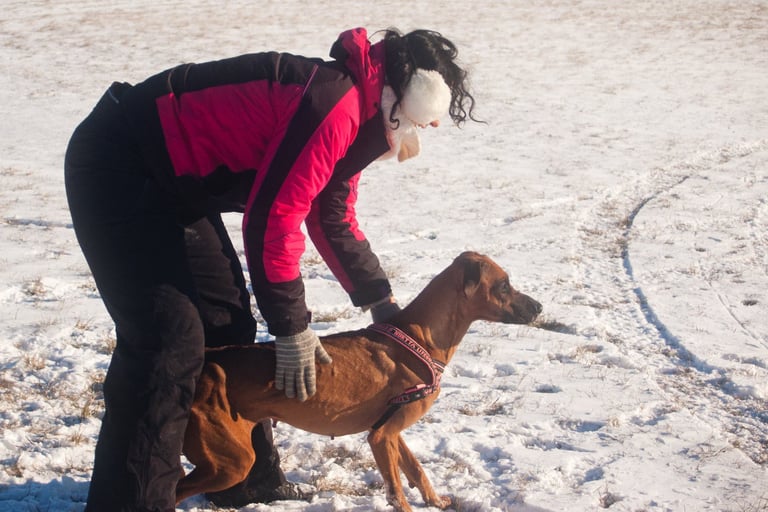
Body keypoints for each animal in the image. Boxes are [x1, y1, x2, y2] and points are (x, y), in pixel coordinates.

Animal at [176, 251, 542, 511]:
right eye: (504, 285)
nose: (539, 306)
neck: (419, 338)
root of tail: (207, 361)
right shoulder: (380, 437)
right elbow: (396, 492)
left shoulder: (389, 431)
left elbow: (416, 470)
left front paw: (436, 502)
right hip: (230, 461)